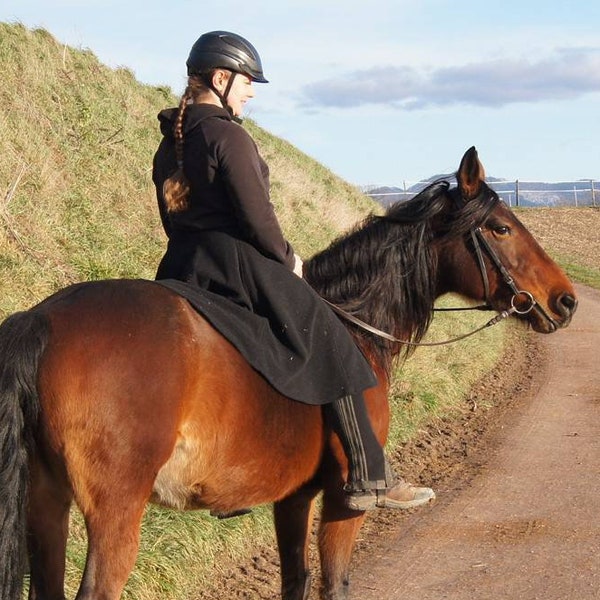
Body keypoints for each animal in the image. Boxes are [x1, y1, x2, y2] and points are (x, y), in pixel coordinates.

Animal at [0, 146, 576, 600]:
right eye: (500, 228)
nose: (566, 301)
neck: (356, 324)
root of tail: (41, 319)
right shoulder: (343, 500)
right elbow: (334, 583)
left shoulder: (293, 497)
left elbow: (294, 580)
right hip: (115, 510)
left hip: (46, 505)